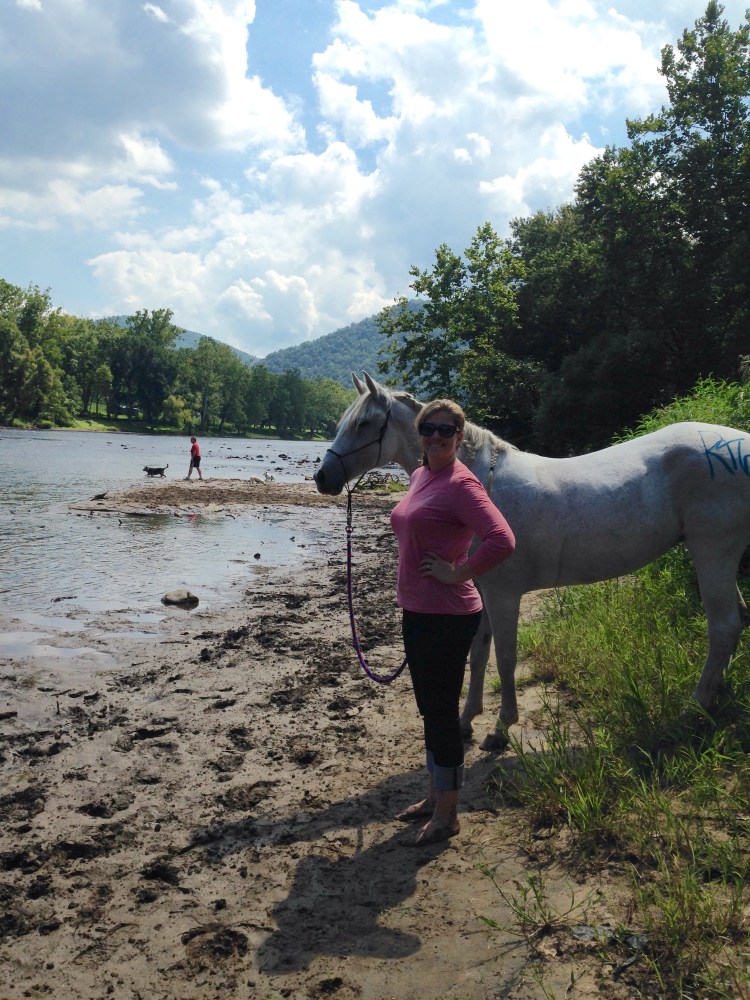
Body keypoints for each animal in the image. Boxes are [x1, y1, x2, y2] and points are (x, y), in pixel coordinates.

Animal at [314, 372, 750, 750]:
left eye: (365, 423)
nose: (323, 478)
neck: (479, 486)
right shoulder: (483, 591)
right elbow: (478, 655)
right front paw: (467, 720)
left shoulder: (505, 595)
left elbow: (506, 658)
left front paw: (500, 729)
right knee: (736, 622)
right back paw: (718, 696)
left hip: (712, 554)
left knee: (723, 626)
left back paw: (693, 709)